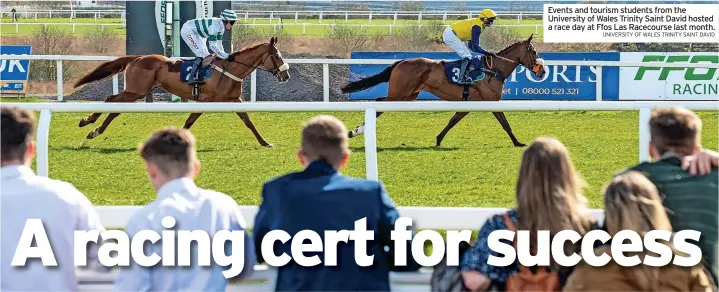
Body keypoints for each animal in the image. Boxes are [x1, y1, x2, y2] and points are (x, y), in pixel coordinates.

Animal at [71, 36, 288, 148]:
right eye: (277, 56)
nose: (286, 75)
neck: (230, 70)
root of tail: (137, 57)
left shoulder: (235, 100)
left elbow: (248, 121)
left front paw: (265, 142)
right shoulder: (207, 100)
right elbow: (190, 120)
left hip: (136, 91)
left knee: (115, 109)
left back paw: (95, 130)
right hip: (136, 90)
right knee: (110, 99)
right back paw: (88, 122)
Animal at [342, 34, 544, 148]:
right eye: (533, 52)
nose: (541, 71)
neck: (492, 69)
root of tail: (401, 61)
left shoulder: (471, 102)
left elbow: (453, 120)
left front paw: (438, 139)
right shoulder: (491, 100)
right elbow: (505, 124)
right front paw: (518, 143)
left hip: (408, 95)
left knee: (380, 103)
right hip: (399, 93)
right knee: (379, 104)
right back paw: (357, 131)